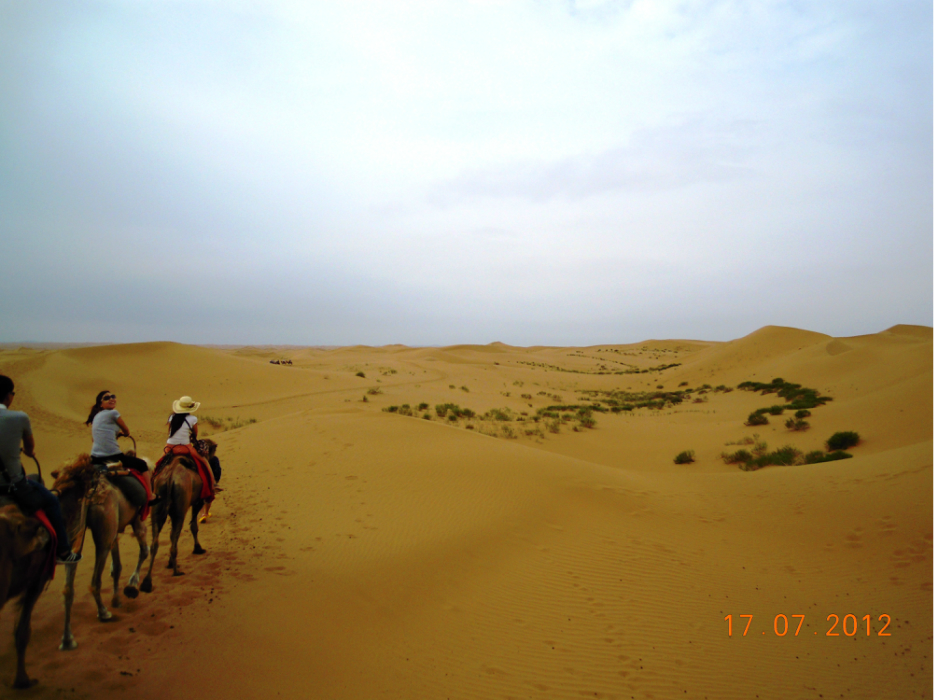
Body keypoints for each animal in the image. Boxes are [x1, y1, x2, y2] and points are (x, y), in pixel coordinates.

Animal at [51, 454, 149, 652]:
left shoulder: (114, 532)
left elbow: (117, 567)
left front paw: (117, 599)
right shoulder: (136, 521)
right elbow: (144, 551)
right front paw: (132, 586)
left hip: (75, 534)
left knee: (67, 589)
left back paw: (67, 639)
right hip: (104, 532)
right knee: (95, 580)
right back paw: (103, 613)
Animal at [139, 440, 214, 588]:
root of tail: (169, 478)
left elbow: (171, 535)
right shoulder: (197, 502)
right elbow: (193, 526)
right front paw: (198, 548)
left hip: (157, 503)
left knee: (156, 542)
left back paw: (147, 581)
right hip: (181, 505)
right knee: (176, 534)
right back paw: (176, 571)